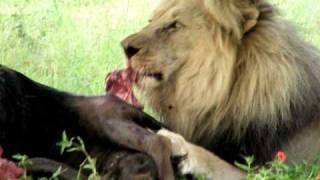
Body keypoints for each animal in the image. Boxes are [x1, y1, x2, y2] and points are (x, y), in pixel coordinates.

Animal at [121, 0, 320, 179]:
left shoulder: (285, 171)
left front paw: (177, 143)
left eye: (174, 25)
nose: (124, 47)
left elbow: (219, 163)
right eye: (150, 21)